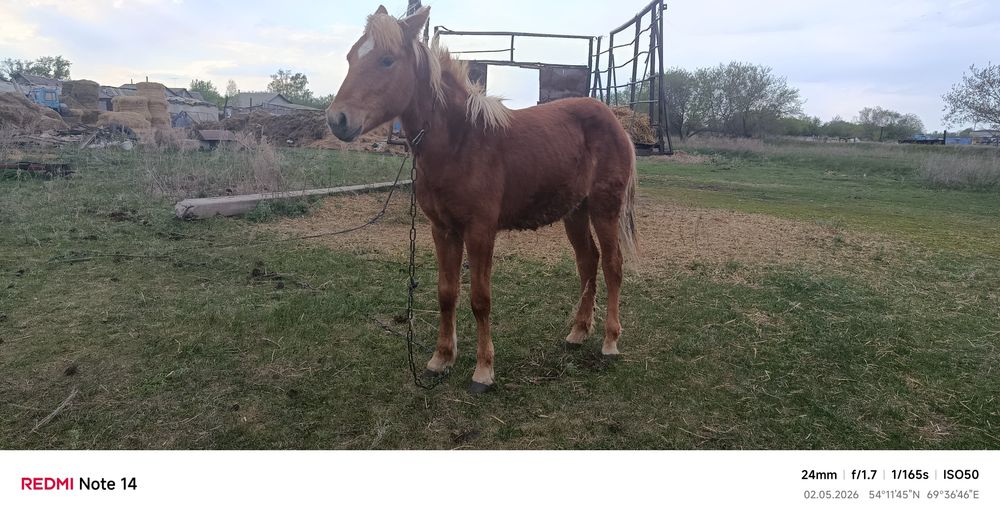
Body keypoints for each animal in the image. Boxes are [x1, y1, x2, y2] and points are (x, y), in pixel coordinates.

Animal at [328, 5, 637, 393]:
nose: (337, 119)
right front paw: (440, 360)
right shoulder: (442, 230)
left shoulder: (480, 232)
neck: (461, 141)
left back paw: (610, 342)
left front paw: (483, 371)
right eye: (351, 57)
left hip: (604, 208)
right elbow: (447, 293)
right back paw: (578, 333)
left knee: (612, 265)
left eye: (387, 60)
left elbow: (480, 299)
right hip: (575, 212)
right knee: (588, 262)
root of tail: (616, 120)